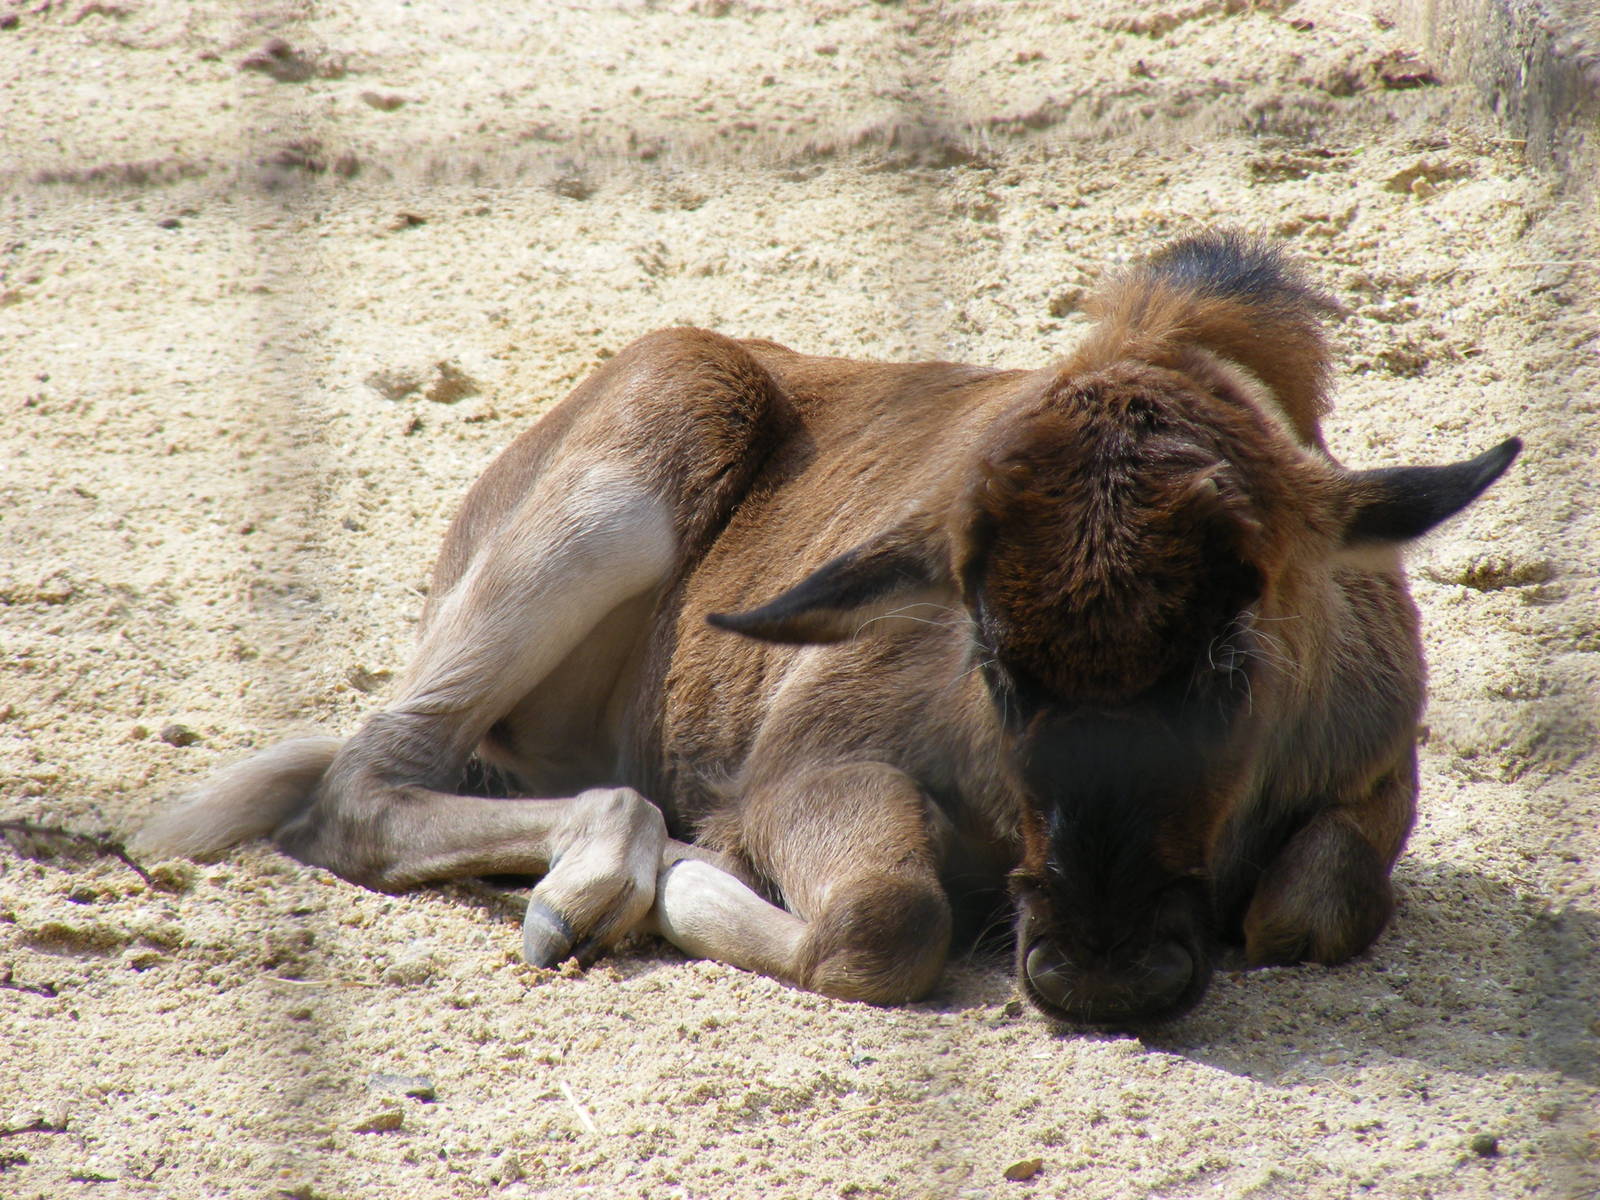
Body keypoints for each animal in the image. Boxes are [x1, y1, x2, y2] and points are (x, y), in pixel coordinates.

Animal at [133, 231, 1520, 1025]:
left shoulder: (1369, 783)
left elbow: (1312, 906)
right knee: (369, 777)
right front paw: (696, 875)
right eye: (989, 656)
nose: (1103, 972)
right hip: (621, 485)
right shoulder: (810, 764)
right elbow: (886, 921)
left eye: (1232, 649)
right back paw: (591, 883)